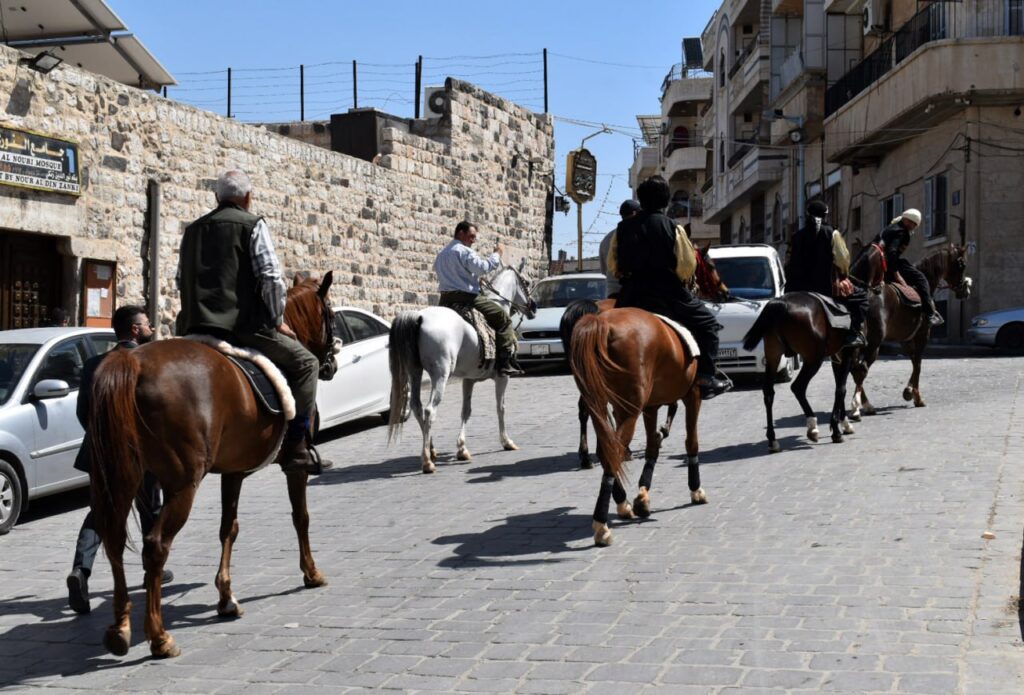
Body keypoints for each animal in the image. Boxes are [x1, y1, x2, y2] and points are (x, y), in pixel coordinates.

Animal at [88, 273, 339, 659]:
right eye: (332, 314)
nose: (331, 364)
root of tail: (133, 363)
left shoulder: (233, 472)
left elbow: (228, 528)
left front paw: (226, 597)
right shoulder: (292, 468)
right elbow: (301, 517)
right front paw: (311, 573)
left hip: (123, 479)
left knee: (113, 539)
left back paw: (120, 629)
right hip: (182, 485)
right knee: (155, 545)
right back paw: (159, 637)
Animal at [387, 262, 536, 473]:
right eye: (527, 282)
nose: (533, 307)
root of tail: (420, 317)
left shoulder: (469, 379)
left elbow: (466, 410)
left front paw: (462, 449)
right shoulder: (502, 377)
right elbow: (501, 407)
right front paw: (506, 442)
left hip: (414, 372)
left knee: (417, 407)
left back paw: (431, 449)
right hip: (440, 375)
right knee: (429, 410)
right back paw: (427, 461)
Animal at [562, 243, 730, 469]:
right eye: (711, 265)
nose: (724, 292)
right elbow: (672, 404)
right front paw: (662, 431)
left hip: (586, 377)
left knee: (589, 408)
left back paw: (589, 454)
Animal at [741, 292, 858, 453]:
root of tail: (781, 302)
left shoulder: (838, 355)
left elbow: (840, 387)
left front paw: (844, 423)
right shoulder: (848, 353)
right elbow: (841, 389)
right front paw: (836, 430)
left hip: (773, 355)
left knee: (769, 392)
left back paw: (772, 440)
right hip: (814, 359)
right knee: (798, 387)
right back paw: (812, 426)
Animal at [847, 241, 971, 417]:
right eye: (962, 264)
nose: (965, 290)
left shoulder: (904, 340)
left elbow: (913, 361)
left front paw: (908, 391)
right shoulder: (922, 335)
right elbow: (918, 363)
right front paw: (916, 396)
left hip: (859, 343)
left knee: (855, 368)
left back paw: (862, 404)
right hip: (874, 342)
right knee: (861, 369)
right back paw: (860, 406)